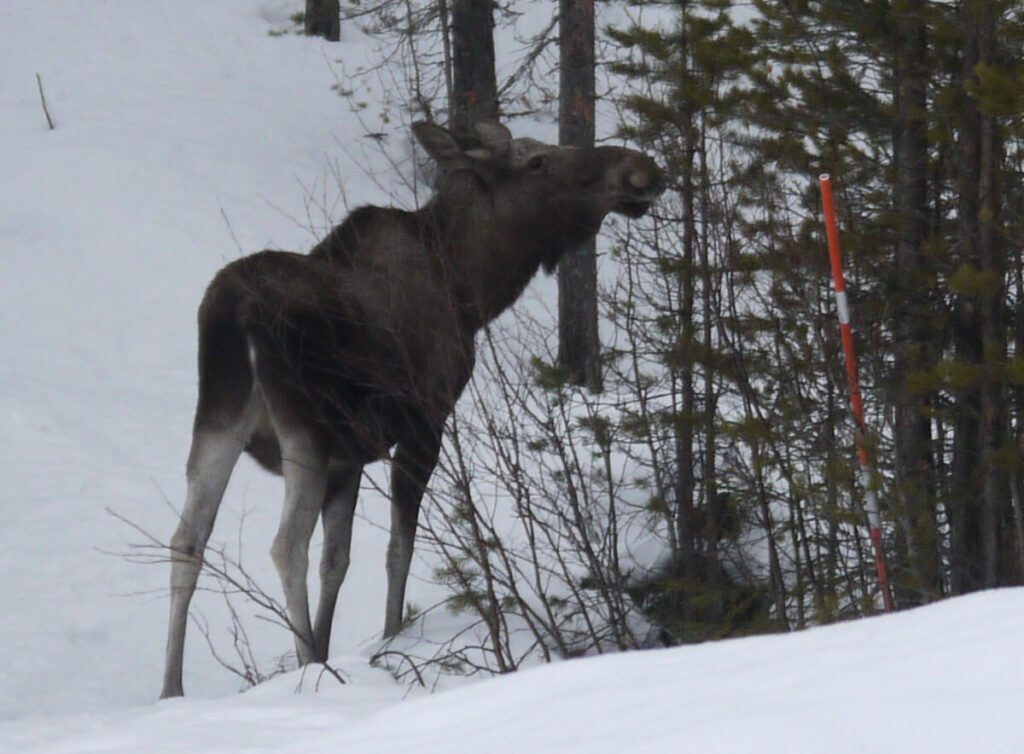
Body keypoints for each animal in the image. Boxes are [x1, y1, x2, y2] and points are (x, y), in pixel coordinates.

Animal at [159, 120, 663, 696]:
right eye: (537, 161)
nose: (641, 169)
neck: (472, 290)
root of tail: (236, 312)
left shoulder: (349, 456)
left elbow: (338, 559)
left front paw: (330, 644)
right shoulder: (426, 420)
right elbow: (398, 548)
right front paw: (388, 637)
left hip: (218, 416)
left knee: (186, 539)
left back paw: (171, 690)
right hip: (304, 425)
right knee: (286, 545)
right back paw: (307, 668)